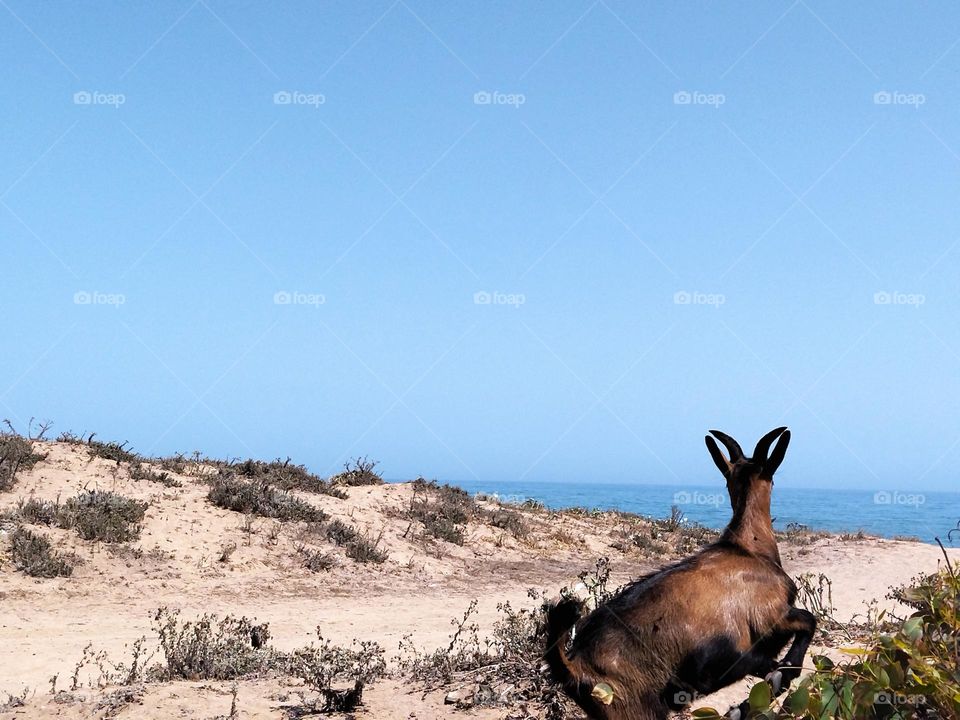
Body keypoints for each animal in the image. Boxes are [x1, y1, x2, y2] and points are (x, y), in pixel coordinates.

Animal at [544, 428, 812, 720]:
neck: (749, 548)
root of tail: (576, 670)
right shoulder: (768, 618)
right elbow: (808, 623)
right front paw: (781, 675)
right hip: (636, 709)